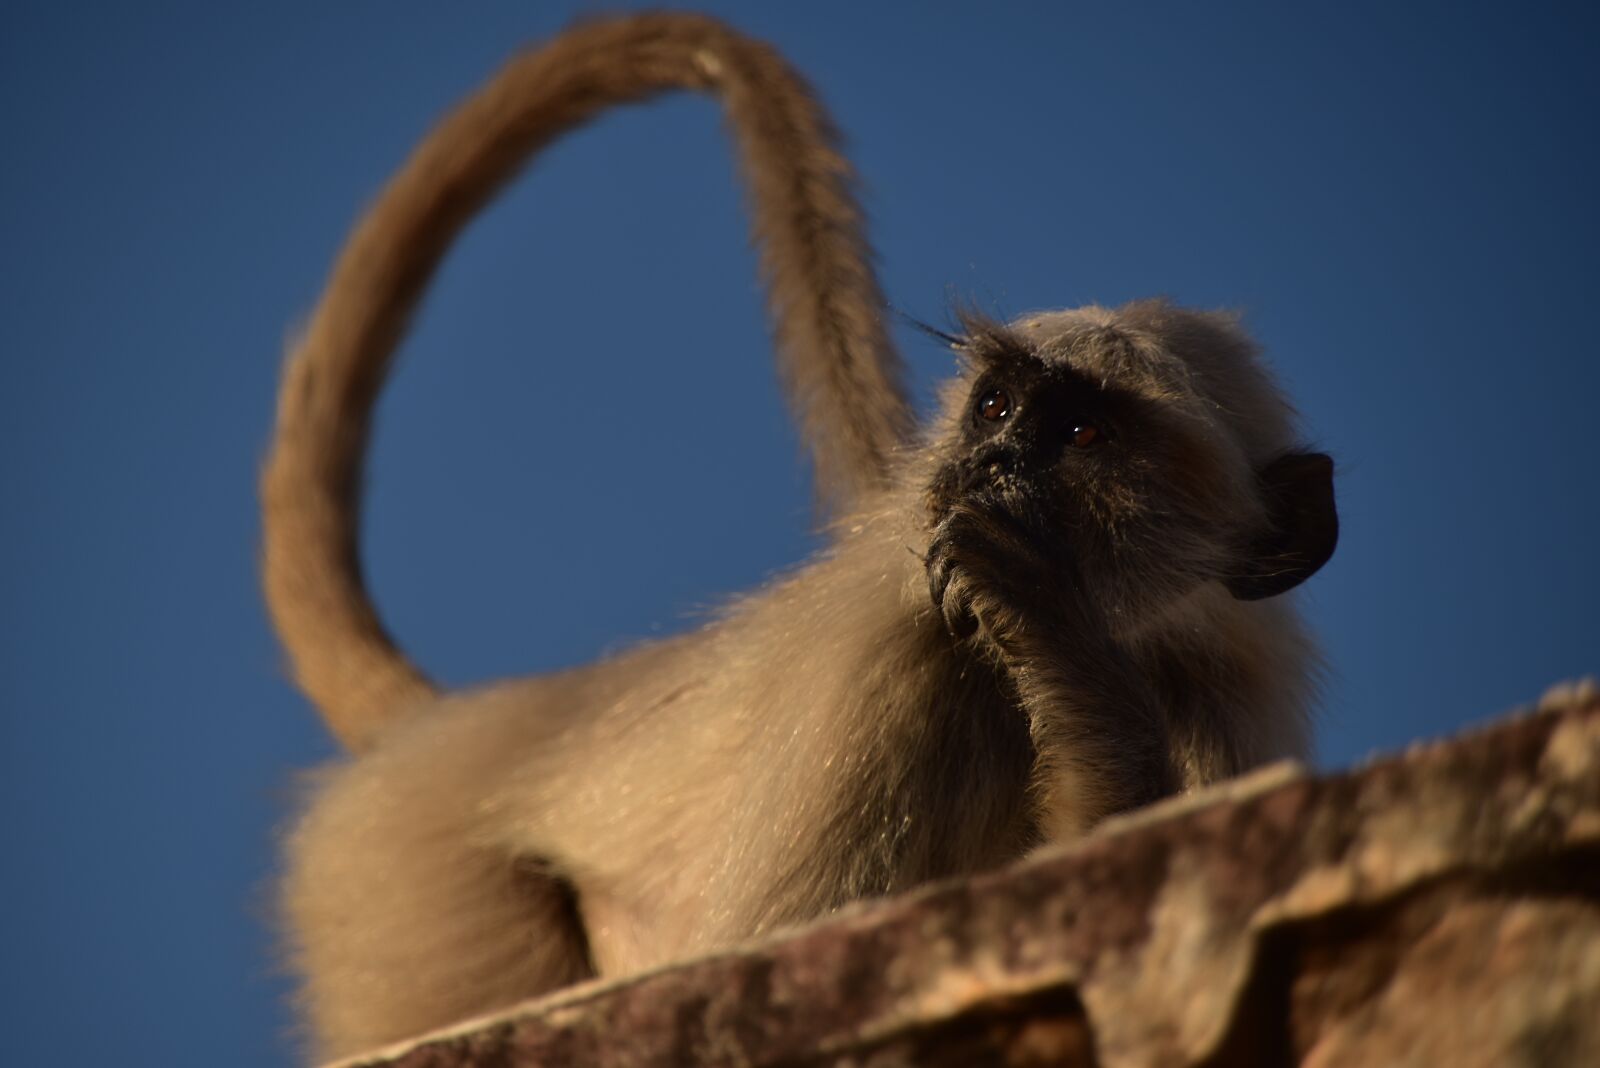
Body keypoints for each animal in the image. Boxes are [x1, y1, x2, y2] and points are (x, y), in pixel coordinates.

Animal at [264, 13, 1337, 1062]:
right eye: (996, 408)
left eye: (1081, 436)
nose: (989, 466)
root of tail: (468, 727)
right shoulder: (897, 660)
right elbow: (780, 943)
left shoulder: (1231, 696)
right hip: (418, 901)